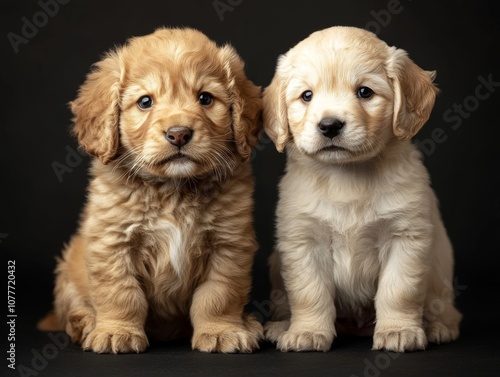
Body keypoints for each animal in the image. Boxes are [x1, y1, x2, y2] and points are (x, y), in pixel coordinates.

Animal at [39, 27, 264, 354]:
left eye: (205, 98)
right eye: (145, 102)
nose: (178, 134)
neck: (173, 189)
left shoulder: (229, 243)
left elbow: (219, 294)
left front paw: (223, 331)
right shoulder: (112, 242)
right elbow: (121, 293)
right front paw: (115, 331)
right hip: (68, 269)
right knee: (73, 308)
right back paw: (86, 322)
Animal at [264, 27, 462, 352]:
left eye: (365, 92)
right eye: (307, 96)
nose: (329, 125)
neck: (347, 175)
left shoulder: (405, 237)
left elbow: (399, 290)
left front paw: (398, 330)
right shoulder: (303, 241)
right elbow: (309, 293)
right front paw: (307, 331)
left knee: (446, 310)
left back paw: (437, 327)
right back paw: (281, 325)